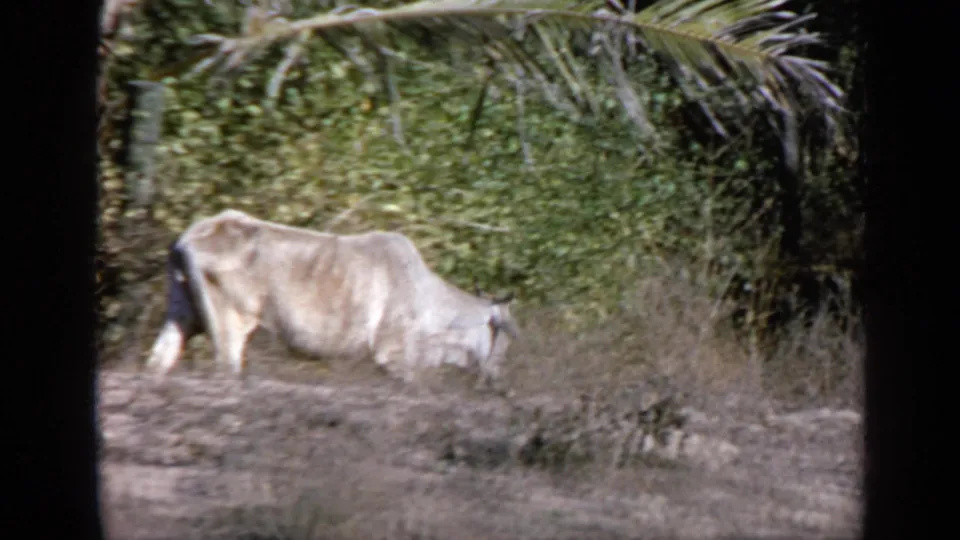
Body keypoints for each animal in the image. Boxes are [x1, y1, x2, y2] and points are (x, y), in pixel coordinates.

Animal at [145, 209, 519, 385]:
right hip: (231, 323)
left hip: (181, 314)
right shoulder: (395, 356)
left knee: (159, 360)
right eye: (505, 333)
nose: (498, 376)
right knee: (225, 367)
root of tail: (188, 236)